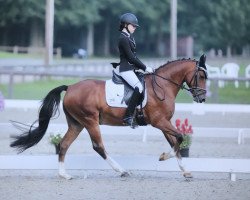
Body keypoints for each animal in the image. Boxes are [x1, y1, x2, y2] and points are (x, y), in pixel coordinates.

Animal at [10, 54, 208, 180]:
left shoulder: (165, 122)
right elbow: (180, 138)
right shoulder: (159, 122)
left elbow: (176, 142)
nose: (202, 98)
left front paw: (185, 171)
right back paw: (122, 171)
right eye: (201, 75)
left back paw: (64, 175)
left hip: (76, 124)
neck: (162, 86)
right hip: (90, 121)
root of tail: (70, 87)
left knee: (63, 144)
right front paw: (163, 157)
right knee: (98, 147)